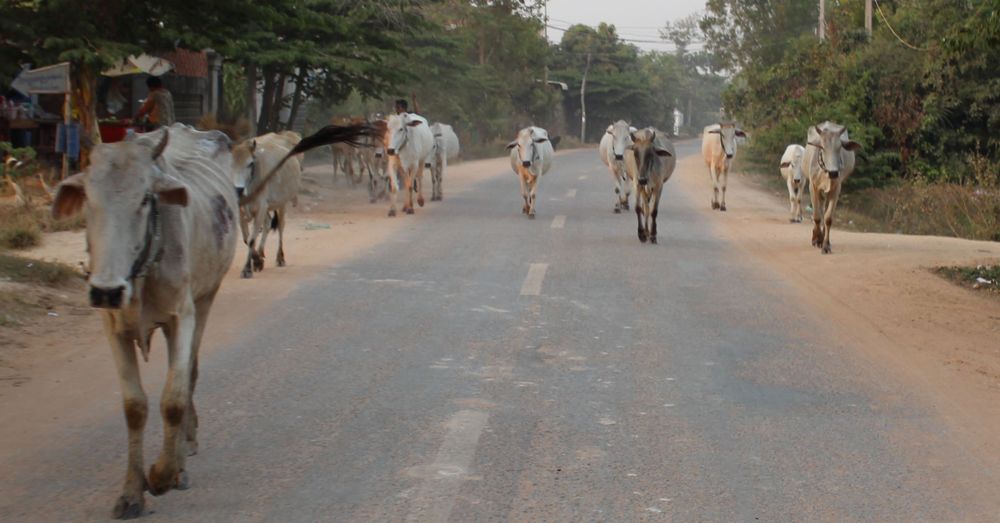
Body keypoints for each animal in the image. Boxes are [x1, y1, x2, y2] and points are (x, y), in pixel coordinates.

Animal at [50, 124, 238, 520]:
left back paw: (183, 453)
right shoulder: (113, 327)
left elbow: (174, 399)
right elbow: (134, 407)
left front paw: (163, 475)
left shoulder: (182, 316)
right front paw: (131, 493)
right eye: (90, 200)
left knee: (190, 373)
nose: (105, 290)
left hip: (206, 298)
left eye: (144, 200)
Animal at [230, 131, 300, 278]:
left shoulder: (261, 207)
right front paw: (257, 261)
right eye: (230, 164)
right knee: (267, 223)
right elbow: (247, 239)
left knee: (280, 227)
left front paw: (248, 268)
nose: (238, 190)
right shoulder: (241, 211)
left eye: (250, 164)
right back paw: (261, 254)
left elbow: (251, 239)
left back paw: (280, 258)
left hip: (282, 203)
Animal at [804, 121, 860, 256]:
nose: (834, 173)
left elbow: (828, 218)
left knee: (824, 211)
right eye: (822, 147)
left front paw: (825, 245)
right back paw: (816, 237)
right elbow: (816, 216)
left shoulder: (836, 189)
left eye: (839, 148)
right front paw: (817, 239)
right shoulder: (813, 187)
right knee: (819, 211)